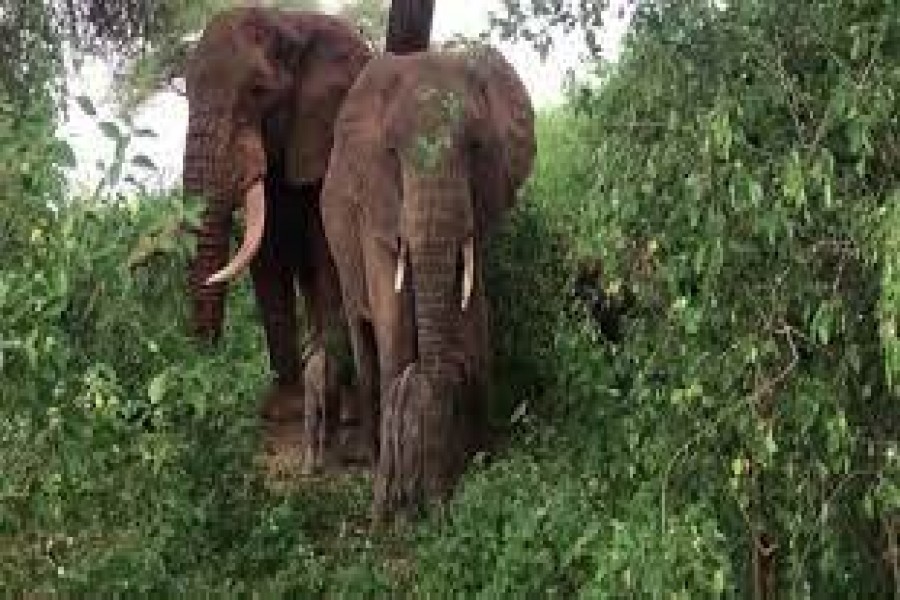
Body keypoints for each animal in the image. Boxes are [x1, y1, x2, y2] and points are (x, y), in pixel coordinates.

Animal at [181, 2, 434, 468]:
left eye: (259, 91)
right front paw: (282, 410)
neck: (287, 22)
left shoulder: (327, 141)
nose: (202, 363)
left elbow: (328, 254)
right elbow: (265, 259)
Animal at [320, 45, 536, 516]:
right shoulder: (376, 209)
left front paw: (483, 461)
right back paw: (371, 455)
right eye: (391, 152)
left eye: (475, 147)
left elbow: (475, 316)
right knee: (363, 339)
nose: (436, 498)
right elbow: (395, 325)